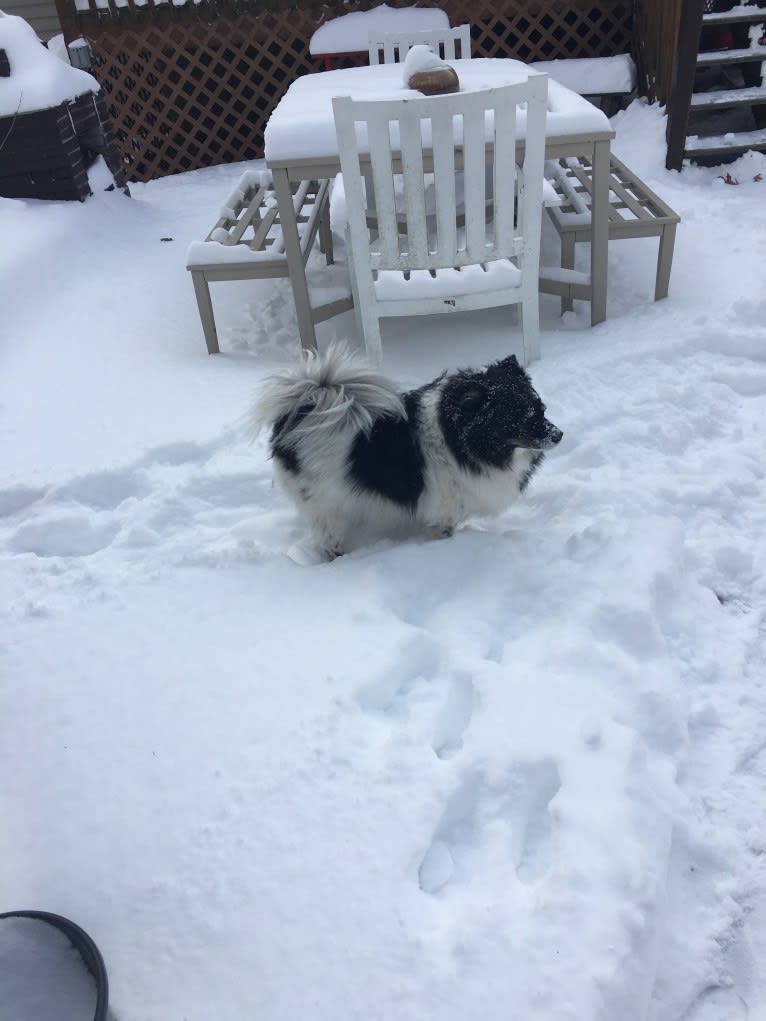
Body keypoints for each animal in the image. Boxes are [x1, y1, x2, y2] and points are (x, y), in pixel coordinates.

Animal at [255, 345, 559, 559]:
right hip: (325, 499)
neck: (458, 438)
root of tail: (304, 407)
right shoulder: (442, 514)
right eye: (520, 418)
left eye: (541, 409)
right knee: (327, 537)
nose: (559, 434)